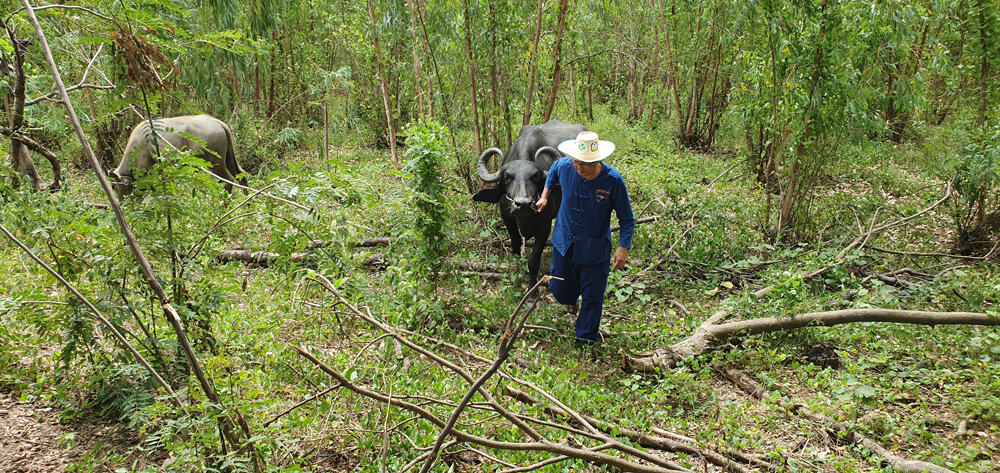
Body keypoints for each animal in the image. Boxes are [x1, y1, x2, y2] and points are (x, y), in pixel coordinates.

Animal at [110, 114, 247, 199]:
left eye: (115, 187)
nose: (121, 203)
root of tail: (217, 122)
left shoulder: (143, 173)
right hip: (229, 158)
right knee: (241, 176)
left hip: (214, 163)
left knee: (228, 181)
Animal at [474, 120, 588, 286]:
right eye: (507, 177)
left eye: (536, 176)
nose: (523, 204)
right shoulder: (507, 218)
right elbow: (515, 245)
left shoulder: (545, 225)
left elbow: (533, 261)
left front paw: (532, 288)